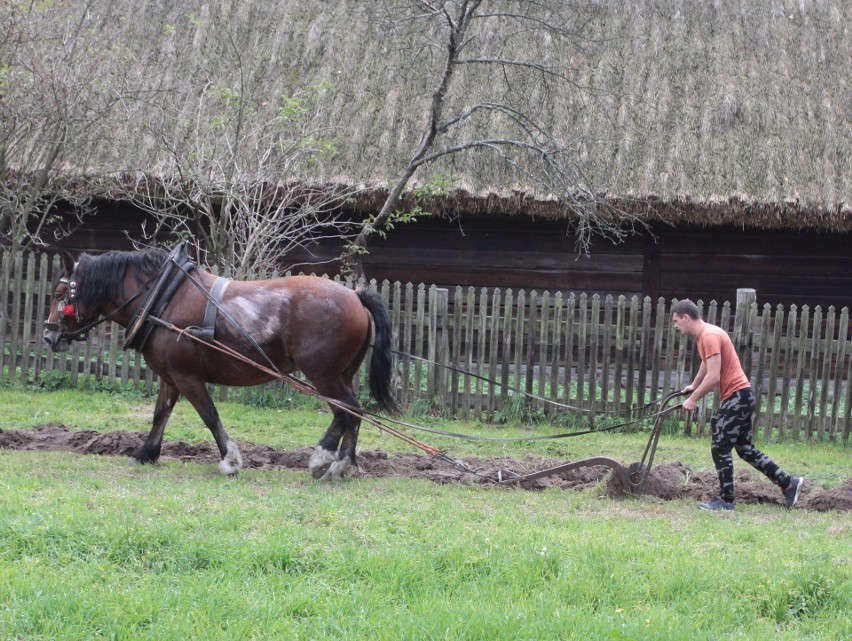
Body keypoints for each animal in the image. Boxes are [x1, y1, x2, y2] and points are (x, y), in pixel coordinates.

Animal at [41, 245, 398, 480]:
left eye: (60, 294)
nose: (48, 335)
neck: (163, 299)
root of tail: (355, 296)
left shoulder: (187, 375)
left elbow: (209, 415)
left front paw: (230, 460)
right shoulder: (169, 375)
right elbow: (160, 414)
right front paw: (146, 453)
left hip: (322, 374)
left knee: (347, 410)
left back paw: (326, 458)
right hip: (341, 374)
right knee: (351, 413)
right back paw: (343, 464)